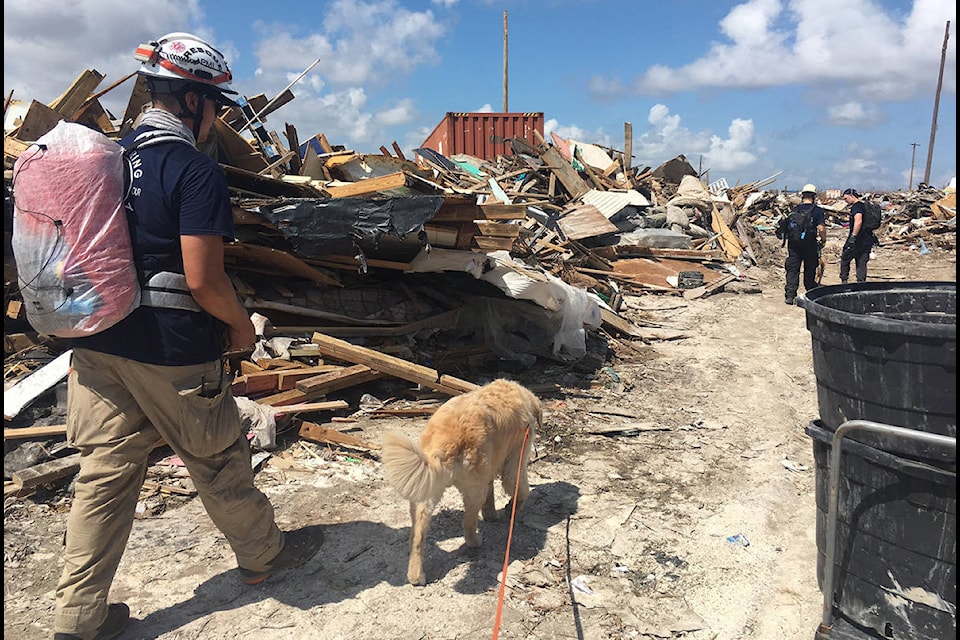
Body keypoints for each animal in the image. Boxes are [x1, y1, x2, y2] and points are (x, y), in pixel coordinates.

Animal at [380, 380, 540, 584]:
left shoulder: (488, 471)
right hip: (473, 490)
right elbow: (520, 490)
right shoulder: (514, 461)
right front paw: (510, 508)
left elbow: (491, 496)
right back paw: (475, 542)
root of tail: (445, 442)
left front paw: (492, 514)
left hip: (425, 494)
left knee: (418, 536)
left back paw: (416, 576)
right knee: (469, 524)